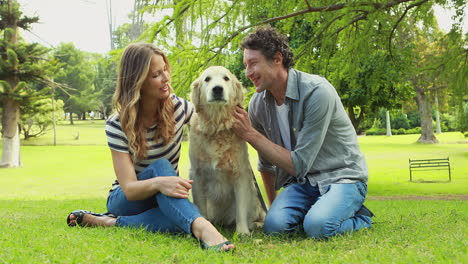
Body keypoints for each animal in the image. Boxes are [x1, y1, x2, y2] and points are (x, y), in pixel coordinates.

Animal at [188, 66, 266, 235]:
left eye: (226, 78)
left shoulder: (241, 173)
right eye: (207, 79)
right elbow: (200, 207)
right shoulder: (197, 174)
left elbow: (241, 209)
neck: (217, 127)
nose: (217, 89)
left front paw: (242, 232)